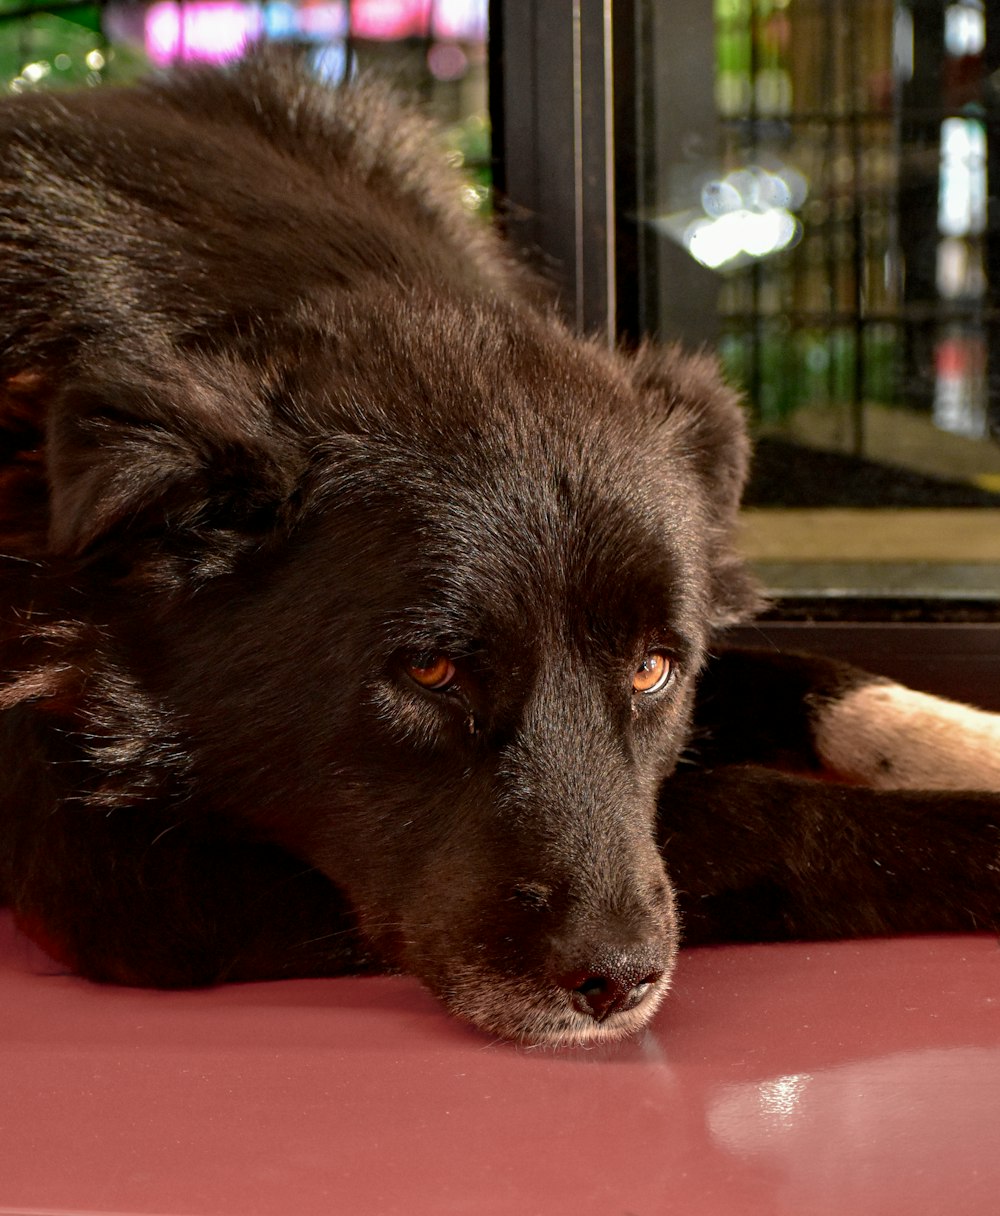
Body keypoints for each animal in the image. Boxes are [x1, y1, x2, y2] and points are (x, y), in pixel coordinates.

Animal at [1, 52, 1000, 1045]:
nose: (615, 982)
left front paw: (971, 739)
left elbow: (817, 673)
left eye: (652, 670)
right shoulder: (125, 869)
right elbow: (756, 809)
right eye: (430, 672)